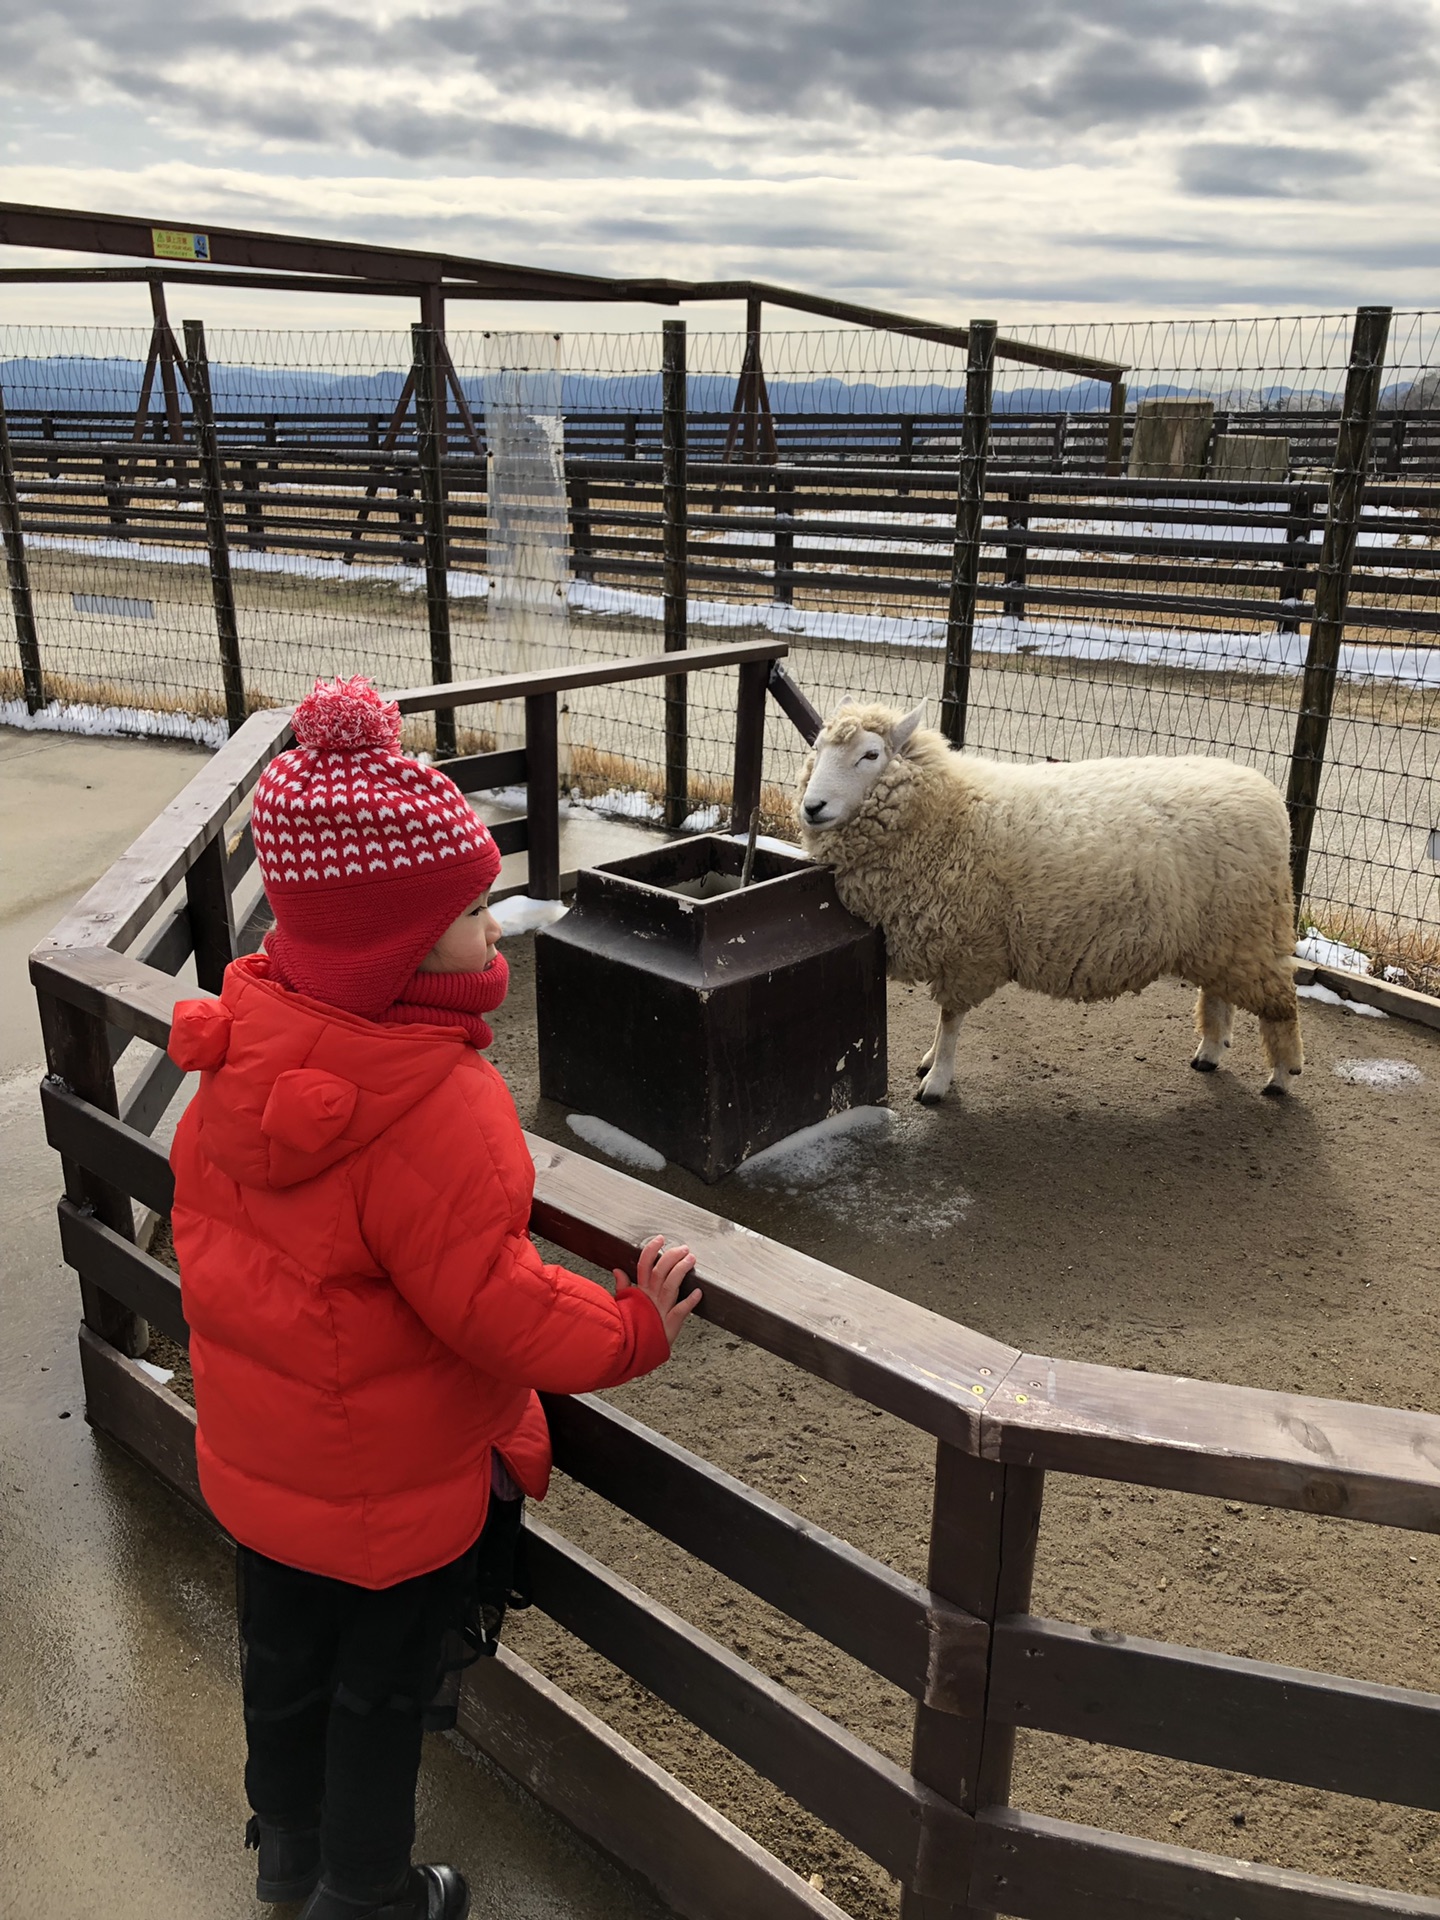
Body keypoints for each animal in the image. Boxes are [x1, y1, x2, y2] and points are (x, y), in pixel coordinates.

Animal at [802, 702, 1305, 1098]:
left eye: (870, 755)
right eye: (818, 751)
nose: (811, 808)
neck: (946, 811)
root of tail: (1263, 789)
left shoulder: (969, 947)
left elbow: (950, 1020)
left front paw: (937, 1080)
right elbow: (944, 1022)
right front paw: (929, 1060)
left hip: (1253, 927)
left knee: (1281, 1002)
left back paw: (1281, 1075)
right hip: (1220, 934)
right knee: (1218, 991)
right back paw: (1210, 1052)